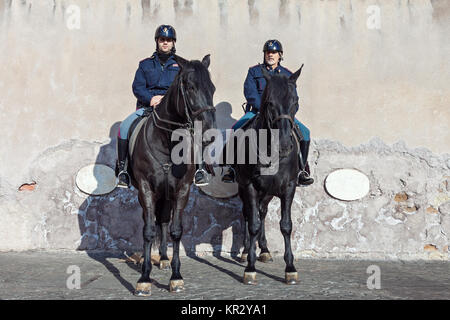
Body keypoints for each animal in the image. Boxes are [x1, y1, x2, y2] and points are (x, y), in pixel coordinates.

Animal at [128, 54, 216, 296]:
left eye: (212, 88)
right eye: (190, 87)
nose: (209, 133)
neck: (166, 142)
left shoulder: (181, 190)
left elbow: (175, 230)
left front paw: (176, 277)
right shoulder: (146, 189)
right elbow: (148, 231)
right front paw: (144, 279)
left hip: (166, 195)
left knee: (164, 221)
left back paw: (165, 259)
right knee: (152, 221)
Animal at [227, 65, 304, 284]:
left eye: (295, 102)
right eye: (270, 103)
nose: (285, 145)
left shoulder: (288, 187)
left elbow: (286, 225)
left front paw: (290, 268)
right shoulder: (249, 186)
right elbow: (252, 223)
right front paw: (250, 268)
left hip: (268, 193)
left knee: (262, 212)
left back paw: (265, 250)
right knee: (248, 214)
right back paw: (247, 251)